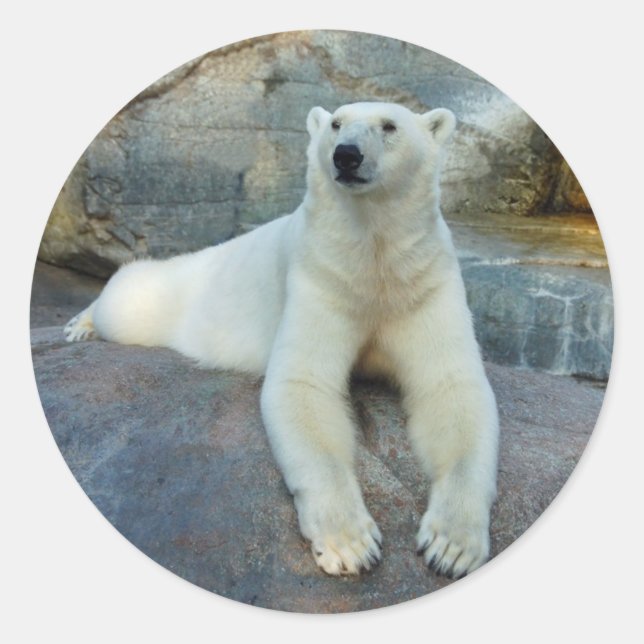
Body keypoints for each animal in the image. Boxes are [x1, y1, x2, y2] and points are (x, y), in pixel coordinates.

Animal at [65, 101, 499, 579]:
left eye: (389, 126)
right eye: (336, 123)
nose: (347, 155)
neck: (373, 257)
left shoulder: (423, 282)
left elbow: (451, 387)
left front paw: (451, 546)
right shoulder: (321, 273)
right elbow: (302, 385)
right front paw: (350, 544)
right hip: (169, 296)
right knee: (128, 297)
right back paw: (82, 323)